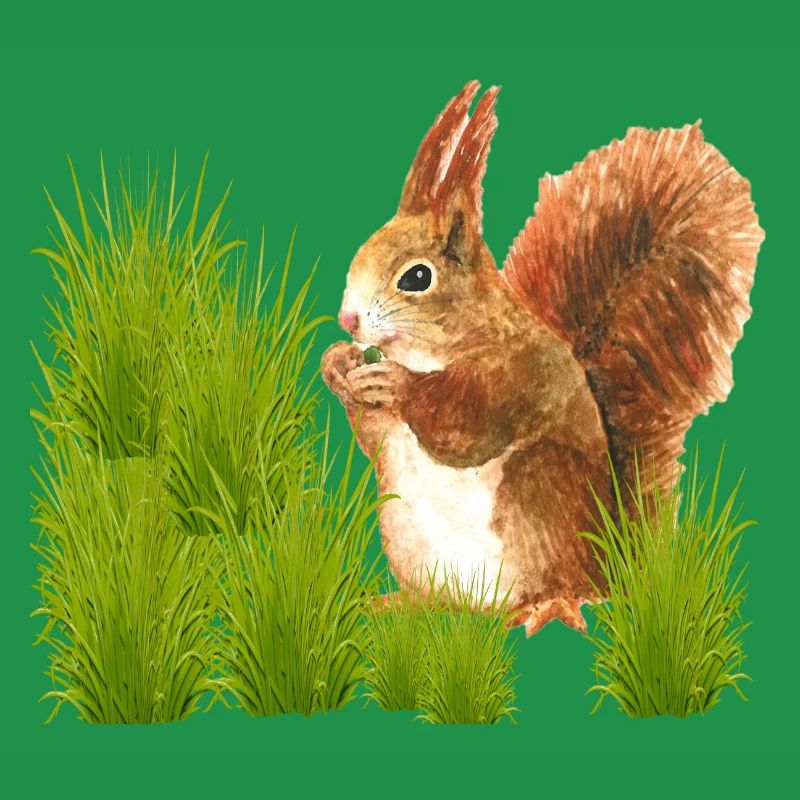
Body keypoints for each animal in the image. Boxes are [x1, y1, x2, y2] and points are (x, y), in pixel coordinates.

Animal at [322, 80, 763, 635]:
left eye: (417, 277)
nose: (348, 320)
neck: (440, 347)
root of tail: (608, 565)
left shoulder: (518, 375)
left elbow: (464, 425)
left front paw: (396, 383)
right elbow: (374, 437)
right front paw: (338, 367)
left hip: (537, 498)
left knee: (558, 588)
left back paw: (545, 606)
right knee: (444, 602)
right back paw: (402, 605)